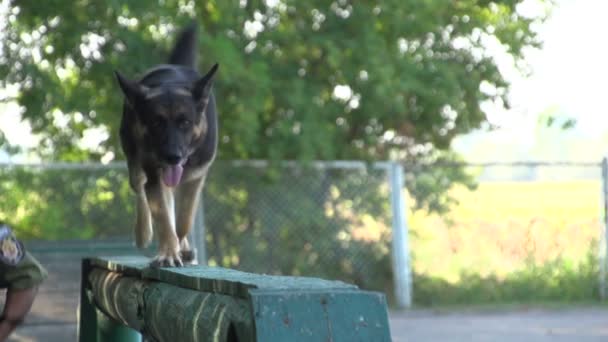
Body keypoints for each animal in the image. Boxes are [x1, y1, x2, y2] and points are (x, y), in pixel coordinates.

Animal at [114, 25, 218, 268]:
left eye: (185, 122)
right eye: (156, 123)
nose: (172, 156)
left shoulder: (196, 177)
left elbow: (184, 219)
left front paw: (179, 246)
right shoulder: (154, 174)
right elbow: (162, 216)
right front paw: (169, 252)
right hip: (134, 158)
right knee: (139, 186)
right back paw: (143, 232)